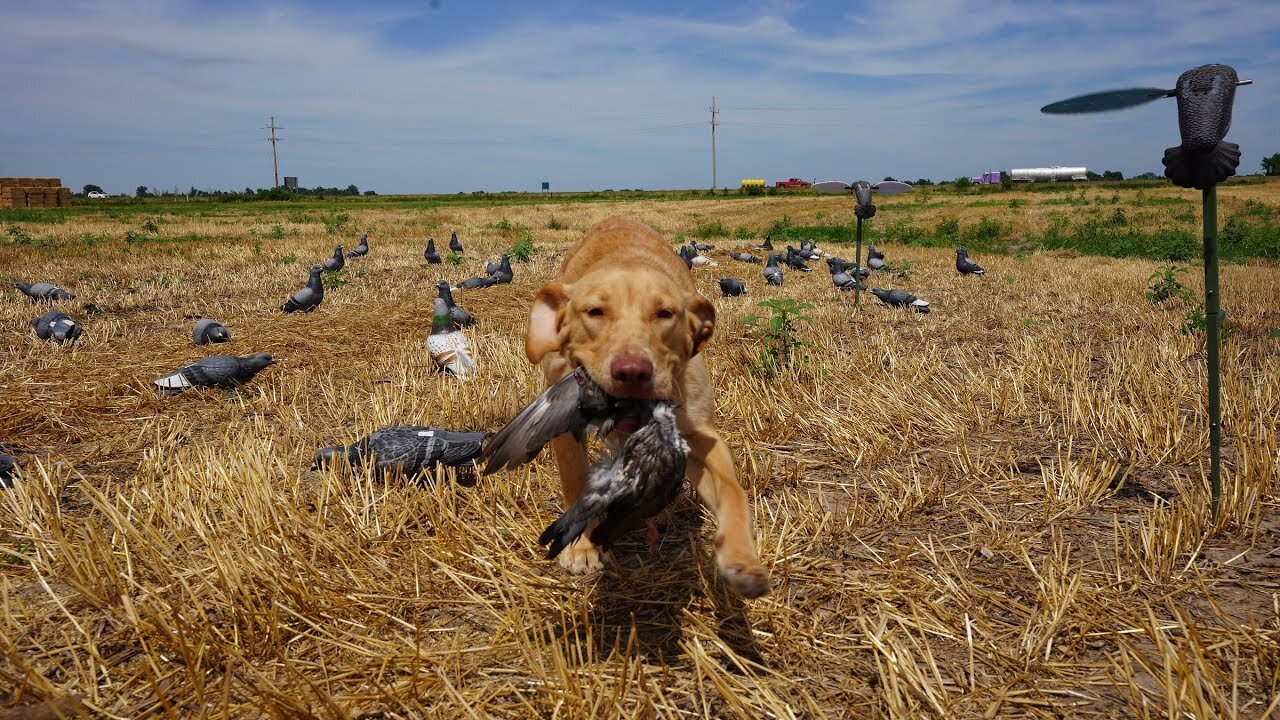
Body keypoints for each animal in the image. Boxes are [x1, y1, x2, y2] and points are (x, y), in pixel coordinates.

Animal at [522, 215, 768, 597]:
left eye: (665, 314)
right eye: (595, 311)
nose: (632, 371)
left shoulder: (699, 437)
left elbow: (732, 489)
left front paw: (741, 558)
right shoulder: (564, 427)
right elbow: (575, 482)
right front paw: (581, 548)